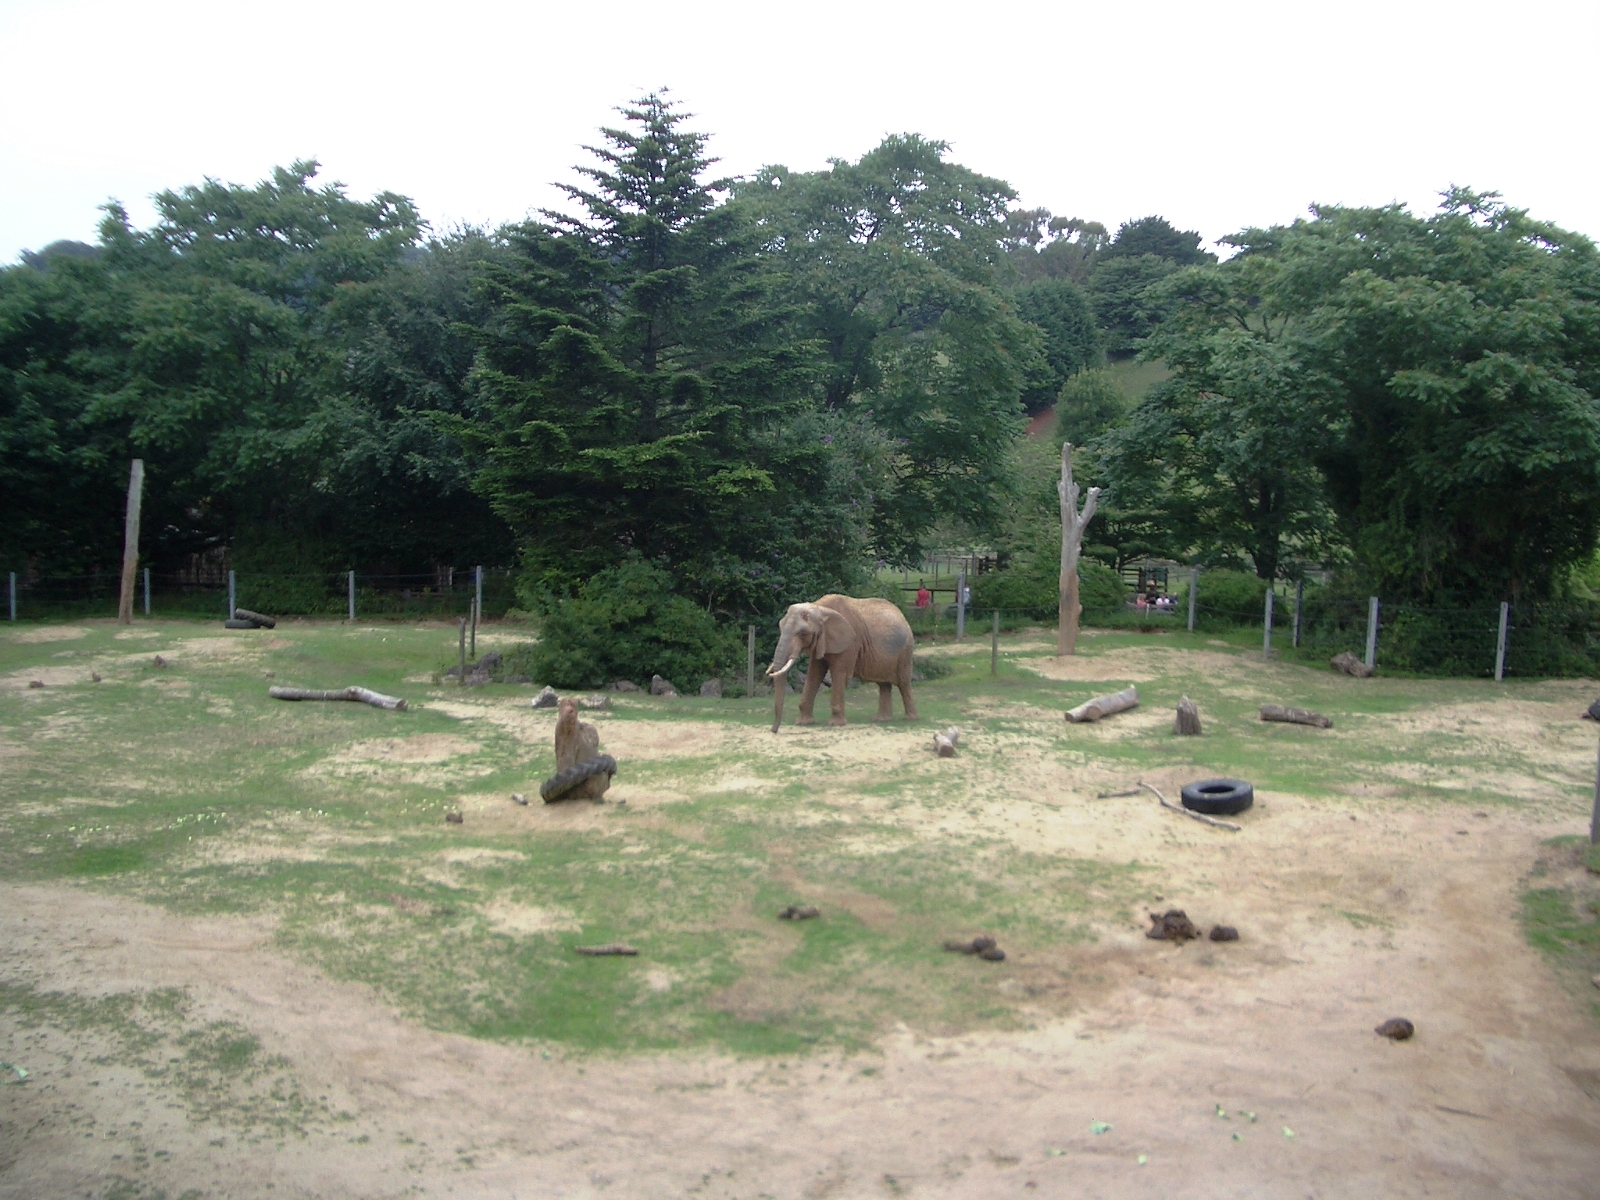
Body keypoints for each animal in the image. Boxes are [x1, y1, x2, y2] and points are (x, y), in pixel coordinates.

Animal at [768, 595, 919, 732]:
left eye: (802, 633)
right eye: (780, 627)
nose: (774, 730)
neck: (819, 607)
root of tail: (902, 615)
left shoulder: (850, 643)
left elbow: (839, 674)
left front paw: (835, 724)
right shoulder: (822, 641)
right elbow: (814, 674)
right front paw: (802, 723)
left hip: (905, 651)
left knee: (903, 683)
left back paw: (910, 718)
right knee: (884, 684)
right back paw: (881, 720)